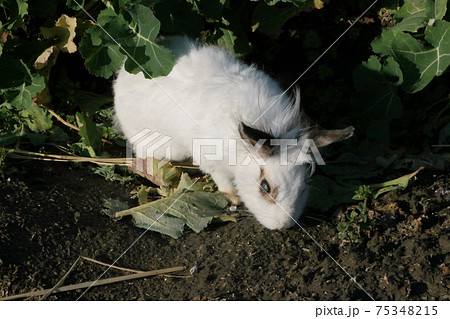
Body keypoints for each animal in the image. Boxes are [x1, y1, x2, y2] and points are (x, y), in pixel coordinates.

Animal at [114, 36, 354, 230]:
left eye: (304, 186)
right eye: (264, 187)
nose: (282, 226)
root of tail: (124, 71)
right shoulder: (213, 163)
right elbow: (224, 182)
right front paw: (234, 200)